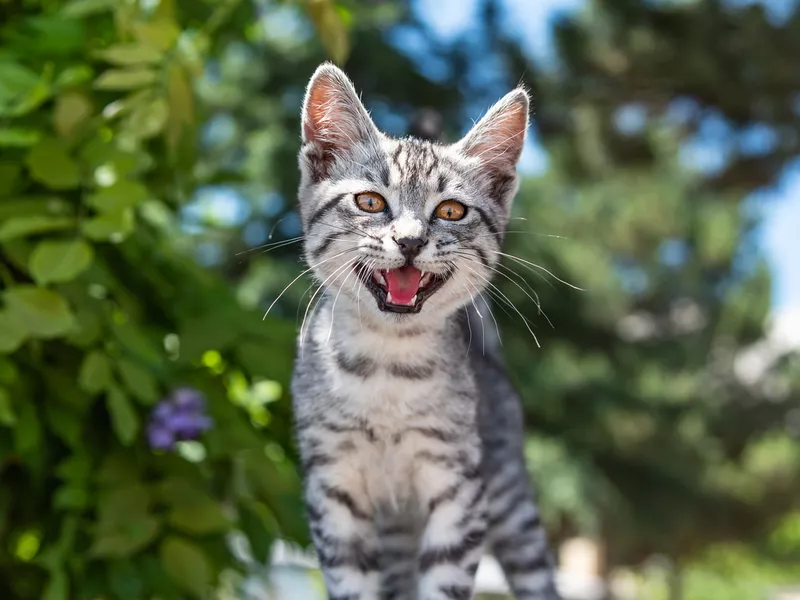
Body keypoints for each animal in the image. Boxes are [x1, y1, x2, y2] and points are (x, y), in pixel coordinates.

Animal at [290, 62, 560, 600]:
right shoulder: (332, 487)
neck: (386, 365)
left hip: (509, 494)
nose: (411, 241)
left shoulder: (459, 488)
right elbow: (353, 584)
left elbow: (445, 582)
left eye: (451, 211)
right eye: (370, 202)